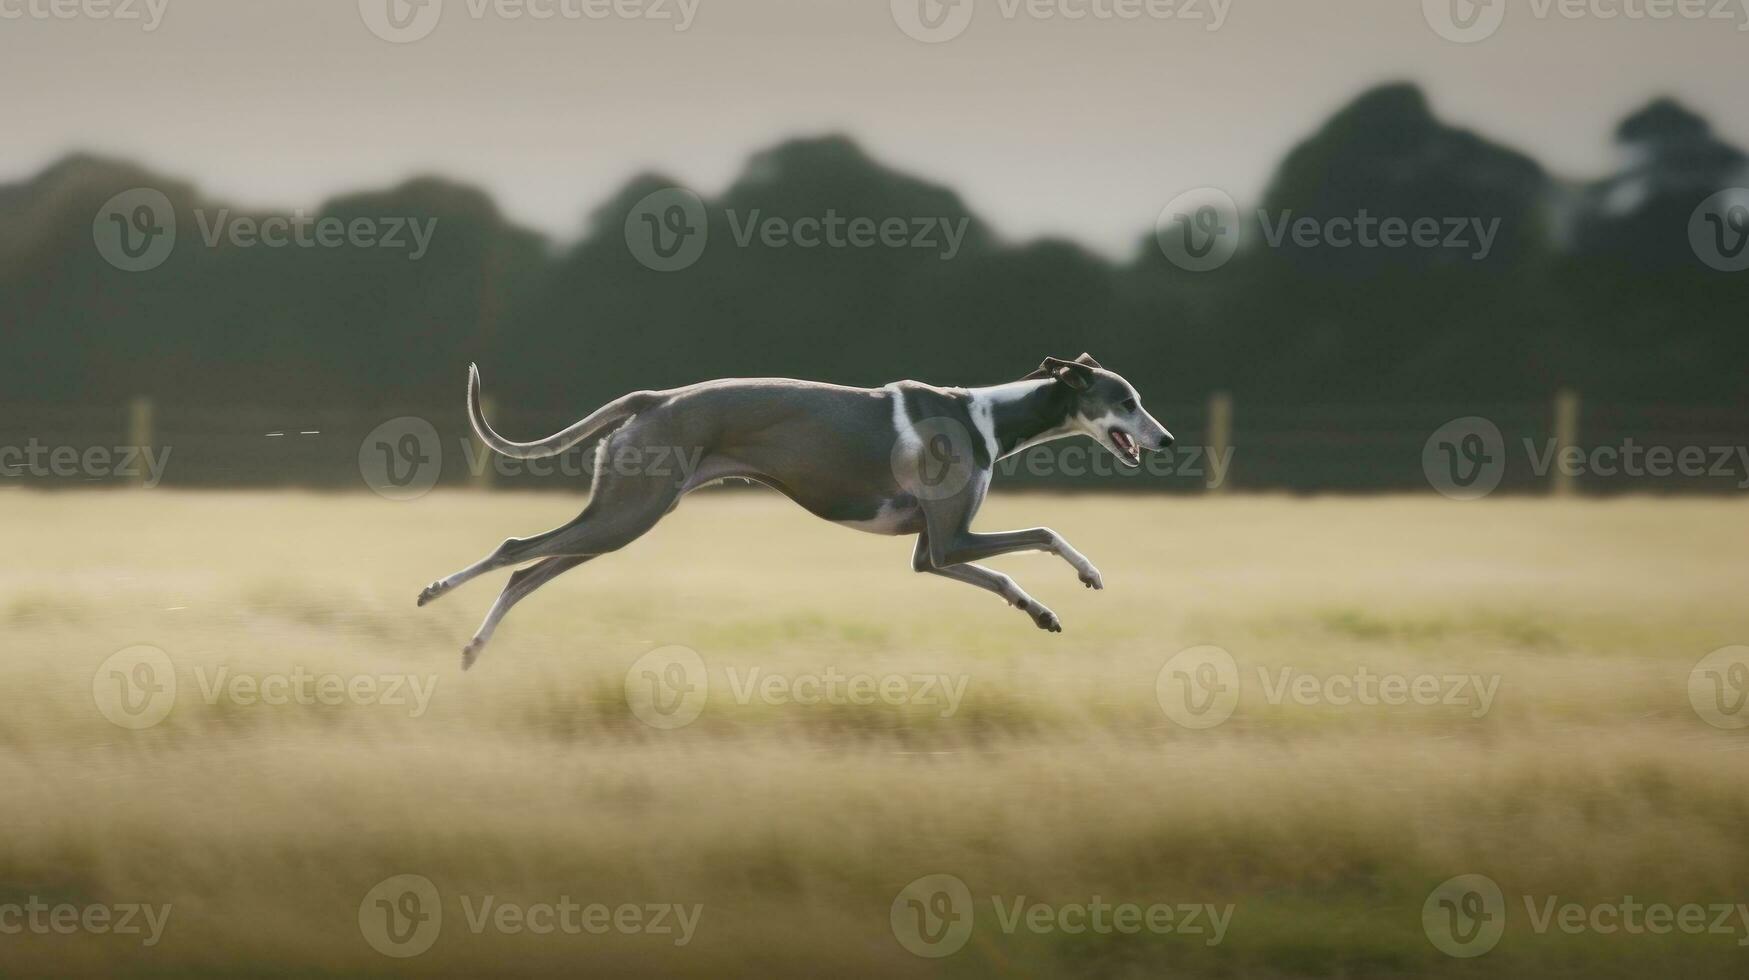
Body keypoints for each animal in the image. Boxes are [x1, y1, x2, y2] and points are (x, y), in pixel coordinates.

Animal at [416, 355, 1175, 668]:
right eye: (1125, 399)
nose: (1166, 440)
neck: (986, 414)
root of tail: (656, 398)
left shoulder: (931, 553)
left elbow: (1004, 575)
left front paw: (1041, 612)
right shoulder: (954, 539)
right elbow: (1044, 531)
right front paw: (1087, 575)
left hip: (618, 522)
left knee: (527, 572)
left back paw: (473, 647)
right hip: (624, 516)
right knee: (515, 550)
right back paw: (433, 593)